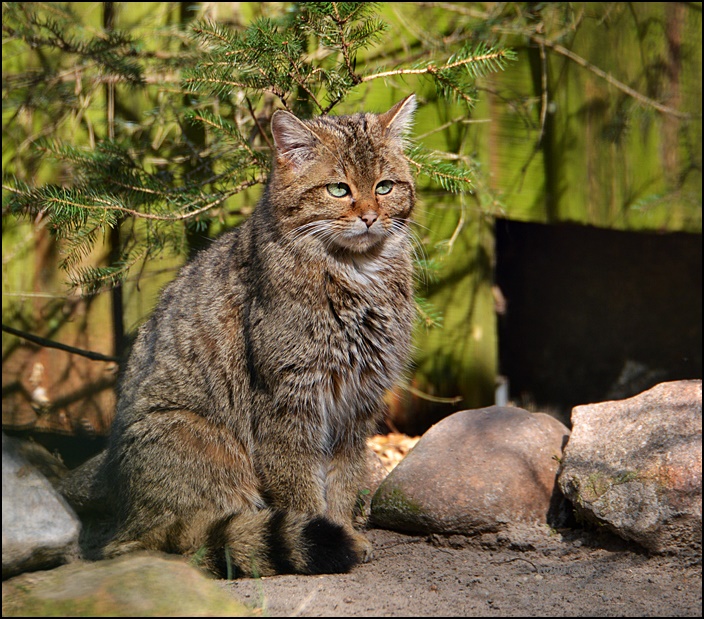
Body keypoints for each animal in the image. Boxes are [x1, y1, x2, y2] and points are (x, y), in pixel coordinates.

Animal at [80, 94, 418, 580]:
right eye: (339, 190)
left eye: (386, 186)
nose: (371, 217)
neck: (357, 276)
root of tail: (128, 523)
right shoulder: (288, 401)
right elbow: (301, 490)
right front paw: (328, 533)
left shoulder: (357, 405)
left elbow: (343, 480)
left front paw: (346, 530)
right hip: (205, 444)